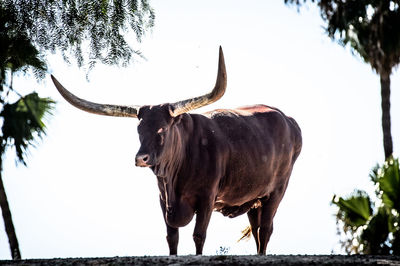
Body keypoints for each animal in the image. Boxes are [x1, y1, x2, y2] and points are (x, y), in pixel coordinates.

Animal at [50, 46, 300, 255]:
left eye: (162, 129)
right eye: (139, 129)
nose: (141, 158)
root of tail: (288, 120)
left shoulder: (207, 198)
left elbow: (199, 235)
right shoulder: (163, 200)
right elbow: (172, 237)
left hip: (276, 191)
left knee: (265, 230)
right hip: (254, 198)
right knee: (257, 229)